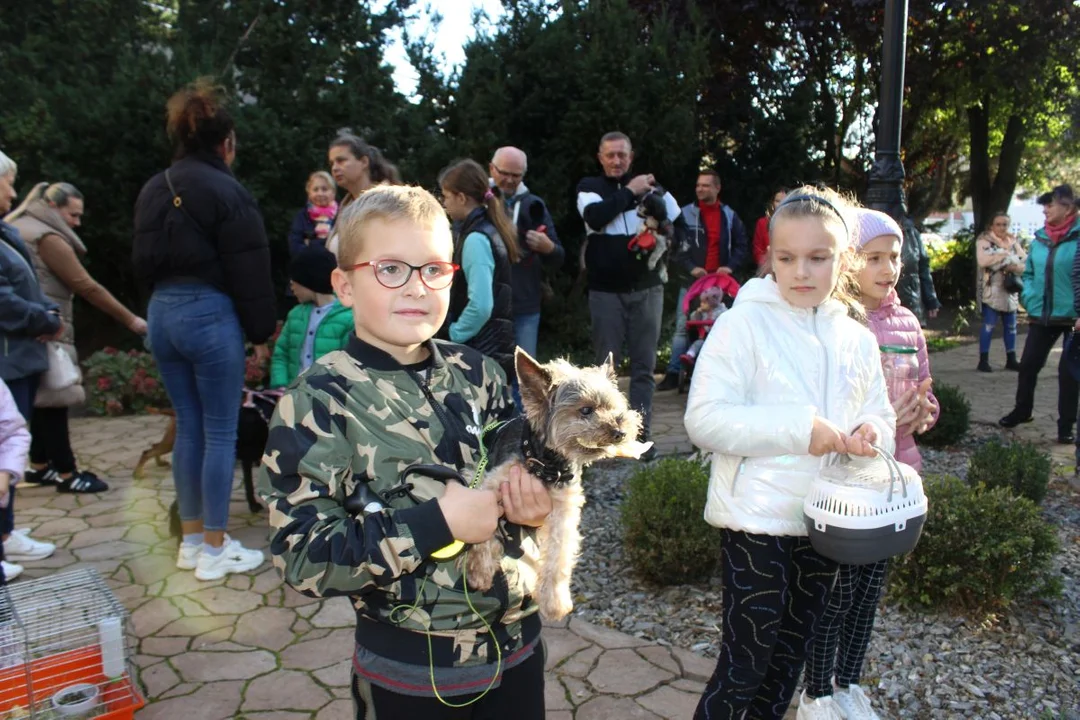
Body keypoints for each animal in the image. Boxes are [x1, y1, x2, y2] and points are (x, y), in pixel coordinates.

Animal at [466, 349, 648, 621]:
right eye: (586, 410)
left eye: (615, 407)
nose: (620, 431)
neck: (546, 464)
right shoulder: (491, 484)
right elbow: (483, 529)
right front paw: (480, 572)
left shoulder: (564, 510)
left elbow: (558, 557)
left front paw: (554, 601)